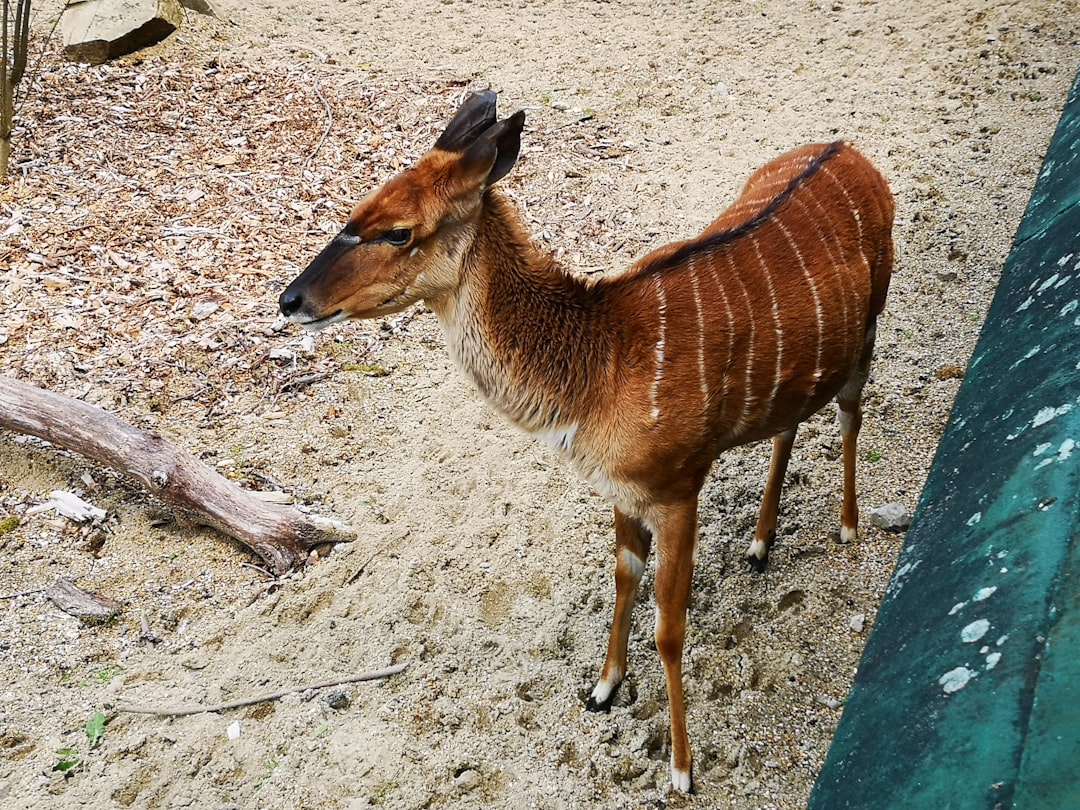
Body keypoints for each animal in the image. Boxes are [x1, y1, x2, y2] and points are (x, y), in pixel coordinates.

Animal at [278, 90, 894, 794]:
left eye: (398, 231)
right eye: (360, 206)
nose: (290, 299)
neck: (595, 372)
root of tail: (854, 152)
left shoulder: (677, 487)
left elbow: (670, 628)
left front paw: (682, 770)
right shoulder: (621, 490)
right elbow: (624, 576)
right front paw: (602, 689)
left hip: (869, 326)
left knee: (849, 411)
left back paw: (847, 526)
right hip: (806, 368)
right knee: (791, 420)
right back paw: (761, 544)